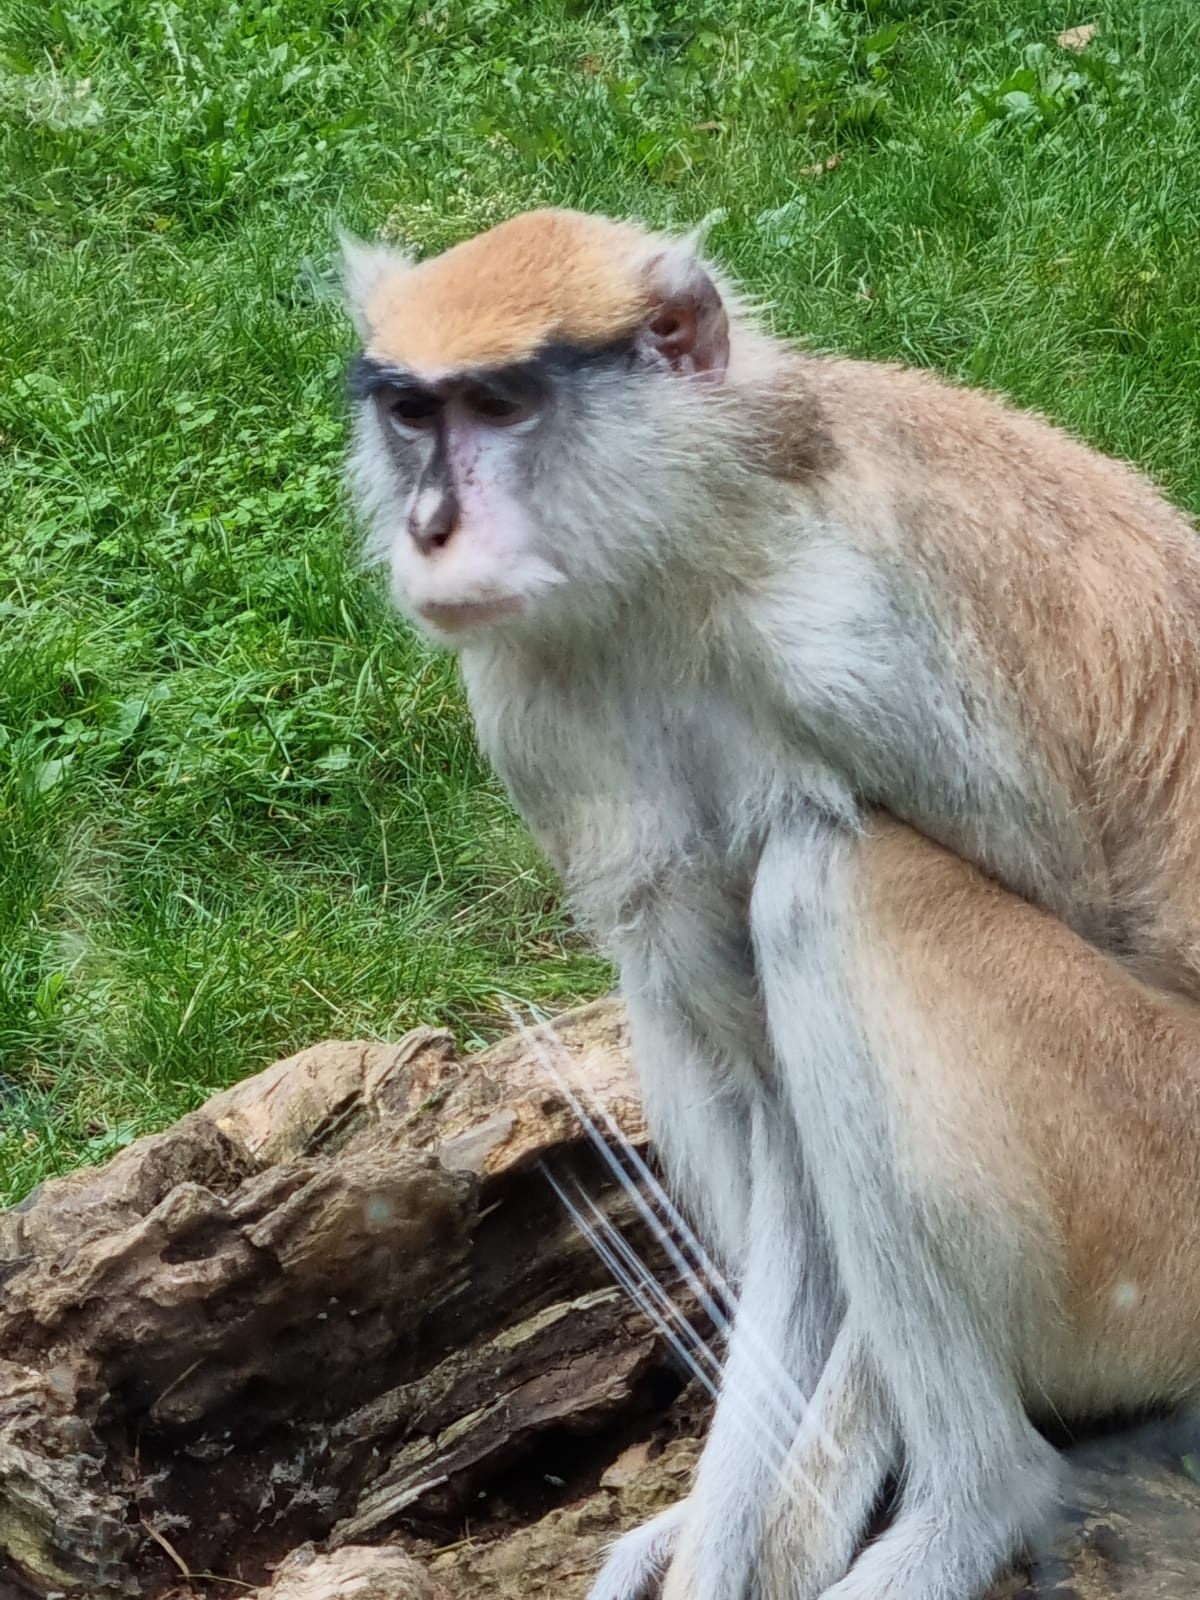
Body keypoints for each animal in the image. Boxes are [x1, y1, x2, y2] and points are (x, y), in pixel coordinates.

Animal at [343, 207, 1200, 1598]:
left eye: (505, 404)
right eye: (415, 413)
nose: (430, 525)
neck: (685, 535)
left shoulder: (853, 642)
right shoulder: (534, 709)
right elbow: (761, 1095)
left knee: (832, 881)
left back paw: (975, 1501)